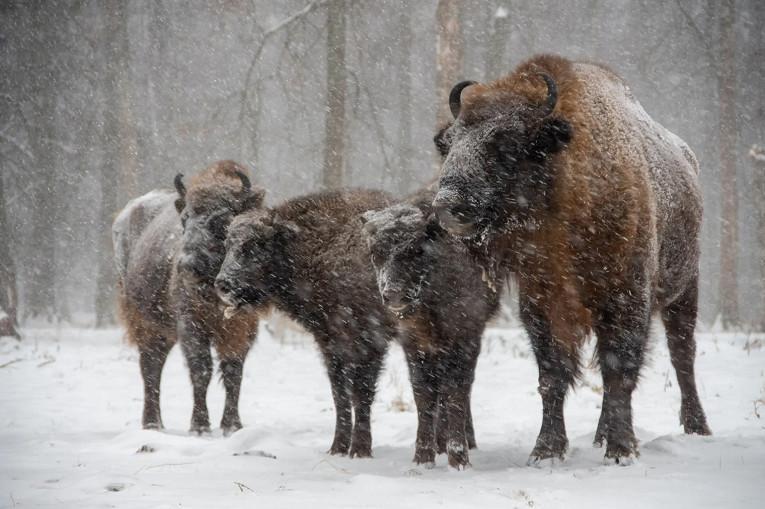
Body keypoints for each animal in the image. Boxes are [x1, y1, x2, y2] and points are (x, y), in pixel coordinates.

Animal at [113, 159, 266, 432]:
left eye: (222, 220)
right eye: (185, 219)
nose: (186, 264)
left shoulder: (242, 327)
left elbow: (233, 370)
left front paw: (232, 425)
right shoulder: (191, 325)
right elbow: (201, 369)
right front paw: (200, 425)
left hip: (163, 329)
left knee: (155, 362)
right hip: (144, 322)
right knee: (150, 366)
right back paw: (152, 423)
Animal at [213, 188, 394, 456]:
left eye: (254, 244)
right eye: (227, 244)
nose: (222, 284)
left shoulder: (370, 341)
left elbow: (361, 392)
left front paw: (360, 450)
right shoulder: (329, 343)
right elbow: (339, 393)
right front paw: (337, 448)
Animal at [362, 187, 504, 468]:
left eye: (416, 250)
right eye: (375, 253)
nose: (393, 295)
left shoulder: (465, 339)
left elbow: (456, 393)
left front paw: (459, 459)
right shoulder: (414, 344)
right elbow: (424, 395)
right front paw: (423, 458)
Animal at [430, 53, 712, 462]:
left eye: (505, 140)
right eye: (448, 143)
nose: (446, 204)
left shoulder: (627, 295)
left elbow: (620, 371)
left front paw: (622, 450)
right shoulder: (543, 302)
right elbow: (553, 373)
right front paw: (546, 450)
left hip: (685, 289)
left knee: (682, 356)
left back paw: (696, 427)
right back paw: (600, 436)